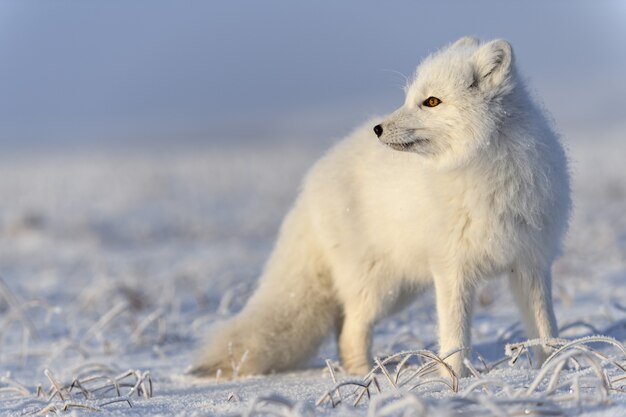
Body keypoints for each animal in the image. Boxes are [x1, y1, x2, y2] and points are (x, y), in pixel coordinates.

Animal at [193, 37, 568, 376]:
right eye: (409, 98)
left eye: (431, 101)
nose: (378, 129)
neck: (484, 171)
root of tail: (312, 181)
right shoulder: (452, 269)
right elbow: (454, 339)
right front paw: (453, 382)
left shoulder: (531, 264)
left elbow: (545, 329)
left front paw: (554, 370)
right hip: (379, 287)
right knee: (350, 330)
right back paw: (366, 375)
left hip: (400, 288)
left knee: (342, 325)